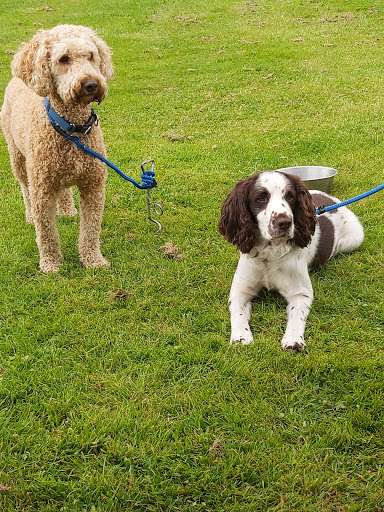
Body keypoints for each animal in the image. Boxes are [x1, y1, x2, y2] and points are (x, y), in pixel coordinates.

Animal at [0, 25, 114, 272]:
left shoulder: (94, 185)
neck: (71, 131)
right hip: (17, 157)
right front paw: (51, 264)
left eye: (91, 56)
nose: (91, 84)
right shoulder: (42, 189)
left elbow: (91, 229)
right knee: (24, 187)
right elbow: (46, 233)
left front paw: (93, 259)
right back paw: (30, 215)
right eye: (64, 59)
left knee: (63, 189)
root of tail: (17, 77)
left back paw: (67, 210)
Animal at [219, 172, 364, 352]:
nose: (284, 222)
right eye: (261, 198)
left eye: (290, 196)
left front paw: (293, 340)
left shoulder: (301, 293)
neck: (270, 254)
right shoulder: (240, 291)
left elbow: (296, 316)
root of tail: (333, 199)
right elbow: (238, 314)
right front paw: (241, 337)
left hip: (354, 239)